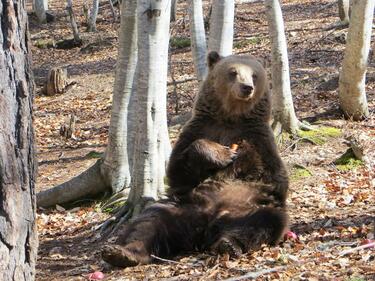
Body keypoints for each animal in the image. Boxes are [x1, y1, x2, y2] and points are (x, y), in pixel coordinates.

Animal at [101, 50, 290, 266]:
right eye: (233, 72)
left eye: (254, 75)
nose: (247, 87)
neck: (231, 117)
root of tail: (204, 227)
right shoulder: (200, 128)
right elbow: (178, 168)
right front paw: (223, 154)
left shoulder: (260, 137)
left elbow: (272, 177)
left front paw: (239, 151)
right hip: (181, 206)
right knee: (147, 222)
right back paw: (121, 252)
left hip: (248, 207)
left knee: (263, 221)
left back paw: (228, 244)